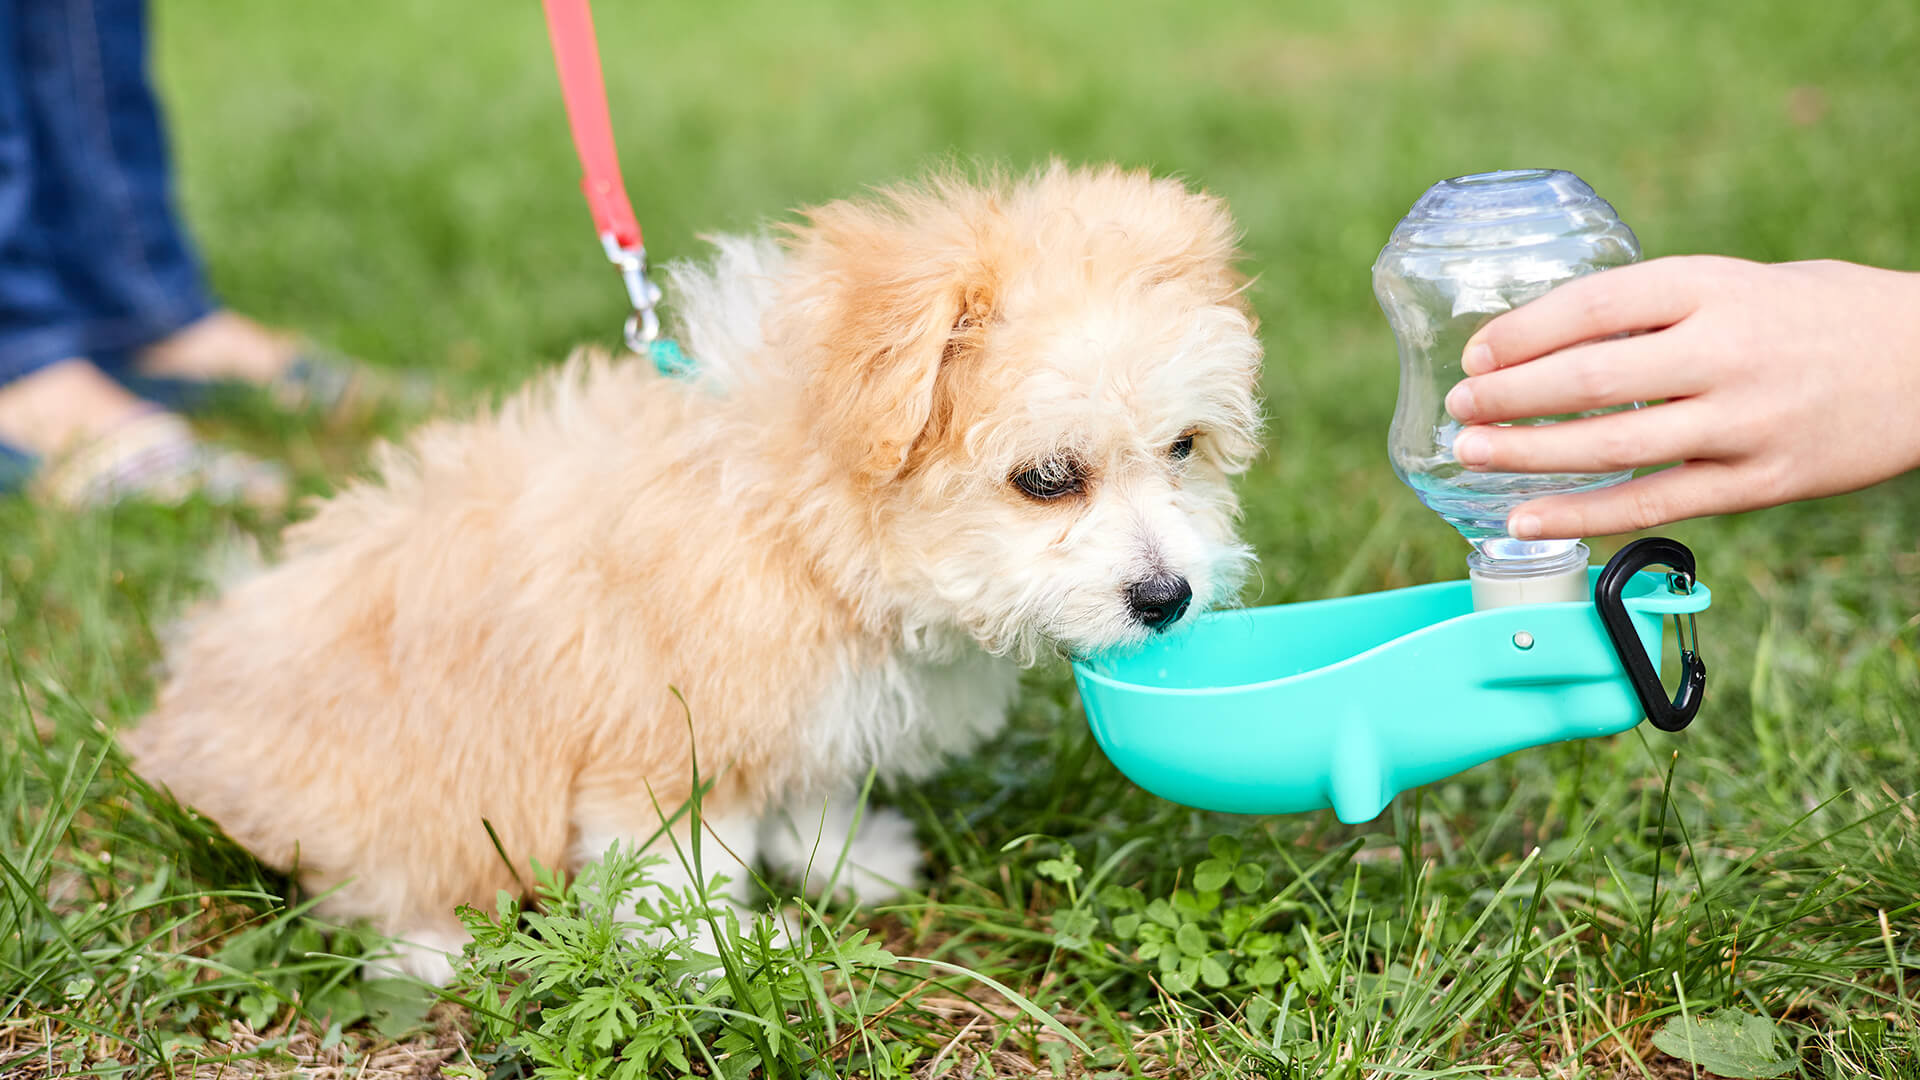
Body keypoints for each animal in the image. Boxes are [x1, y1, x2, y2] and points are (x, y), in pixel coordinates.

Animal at [116, 164, 1259, 980]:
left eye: (1184, 449)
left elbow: (812, 781)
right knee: (365, 881)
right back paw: (434, 949)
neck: (796, 517)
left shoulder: (801, 701)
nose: (1168, 599)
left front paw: (849, 860)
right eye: (1048, 479)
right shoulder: (661, 743)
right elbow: (682, 875)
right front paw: (728, 955)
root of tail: (174, 716)